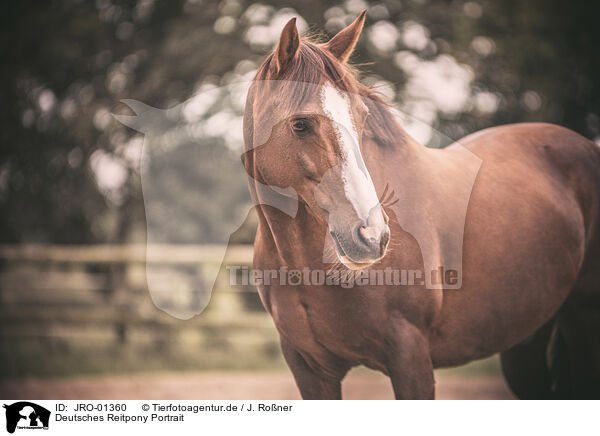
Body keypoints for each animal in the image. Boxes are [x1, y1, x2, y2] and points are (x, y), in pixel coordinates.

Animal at [241, 11, 596, 398]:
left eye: (362, 117)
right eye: (300, 124)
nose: (373, 236)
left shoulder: (409, 357)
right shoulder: (310, 370)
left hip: (581, 325)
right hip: (526, 340)